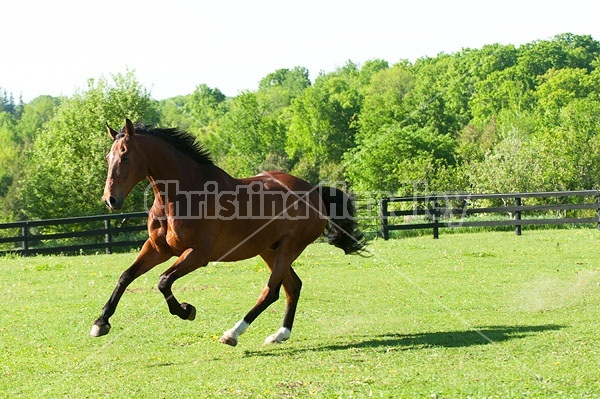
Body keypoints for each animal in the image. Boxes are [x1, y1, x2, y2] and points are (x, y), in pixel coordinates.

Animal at [91, 119, 364, 346]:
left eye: (125, 156)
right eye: (107, 157)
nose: (110, 200)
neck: (180, 196)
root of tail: (314, 191)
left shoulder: (198, 255)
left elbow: (163, 281)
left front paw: (186, 310)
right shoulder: (158, 248)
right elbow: (125, 276)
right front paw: (100, 323)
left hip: (289, 247)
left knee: (272, 291)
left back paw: (232, 333)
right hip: (269, 249)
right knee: (292, 286)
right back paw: (280, 334)